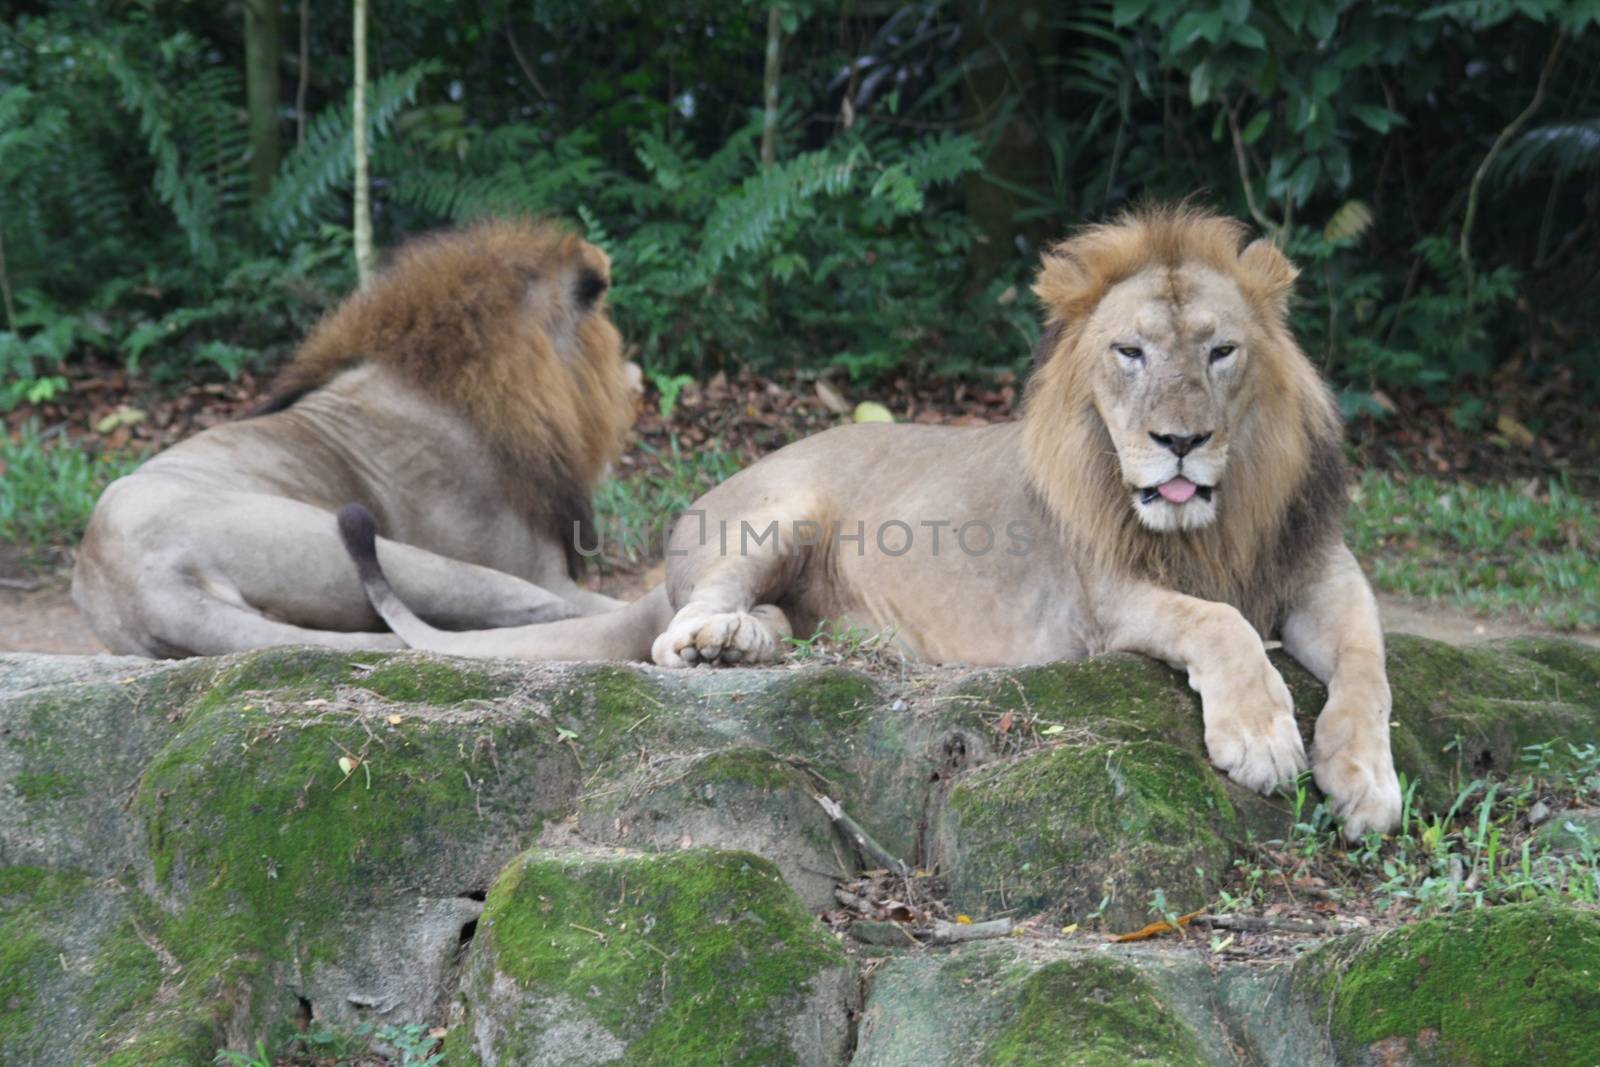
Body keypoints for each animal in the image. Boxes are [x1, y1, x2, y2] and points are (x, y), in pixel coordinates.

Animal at [337, 206, 1401, 844]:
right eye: (1130, 352)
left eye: (1221, 352)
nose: (1180, 441)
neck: (1222, 515)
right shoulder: (1106, 599)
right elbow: (1217, 622)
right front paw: (1263, 738)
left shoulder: (1321, 568)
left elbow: (1368, 662)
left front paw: (1365, 780)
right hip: (782, 511)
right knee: (672, 632)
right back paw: (721, 642)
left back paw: (762, 642)